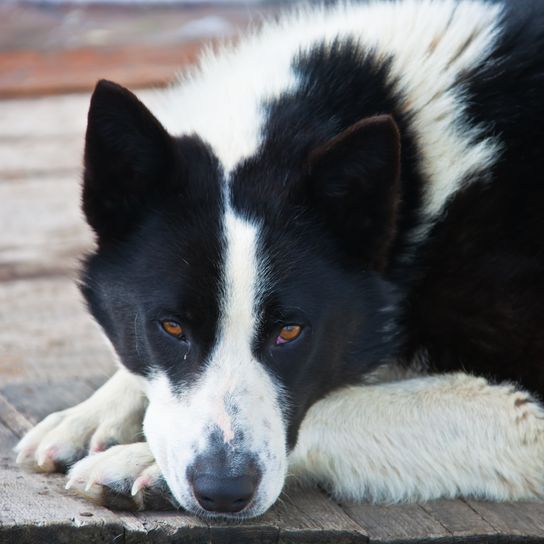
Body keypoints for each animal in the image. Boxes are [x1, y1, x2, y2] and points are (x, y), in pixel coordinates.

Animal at [12, 0, 544, 520]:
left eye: (290, 331)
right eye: (171, 327)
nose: (223, 491)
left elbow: (331, 408)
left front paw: (140, 461)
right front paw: (90, 414)